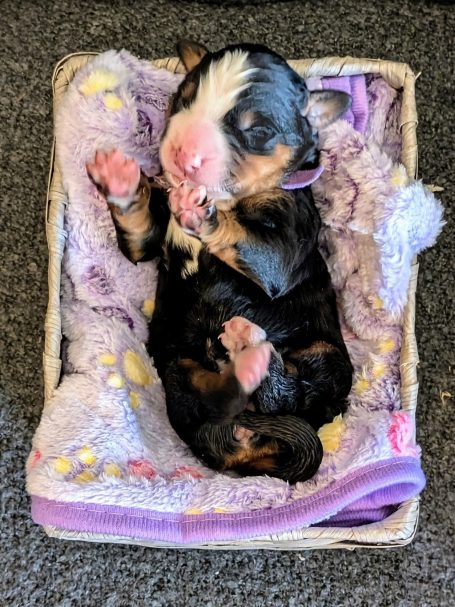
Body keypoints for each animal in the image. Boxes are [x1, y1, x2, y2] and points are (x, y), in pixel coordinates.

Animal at [87, 41, 353, 483]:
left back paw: (251, 350)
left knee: (292, 393)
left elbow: (246, 238)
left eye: (257, 130)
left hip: (329, 359)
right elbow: (139, 230)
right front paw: (120, 178)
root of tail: (245, 441)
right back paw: (243, 361)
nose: (184, 153)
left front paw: (201, 213)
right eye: (184, 97)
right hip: (178, 369)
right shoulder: (152, 238)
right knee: (218, 400)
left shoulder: (286, 242)